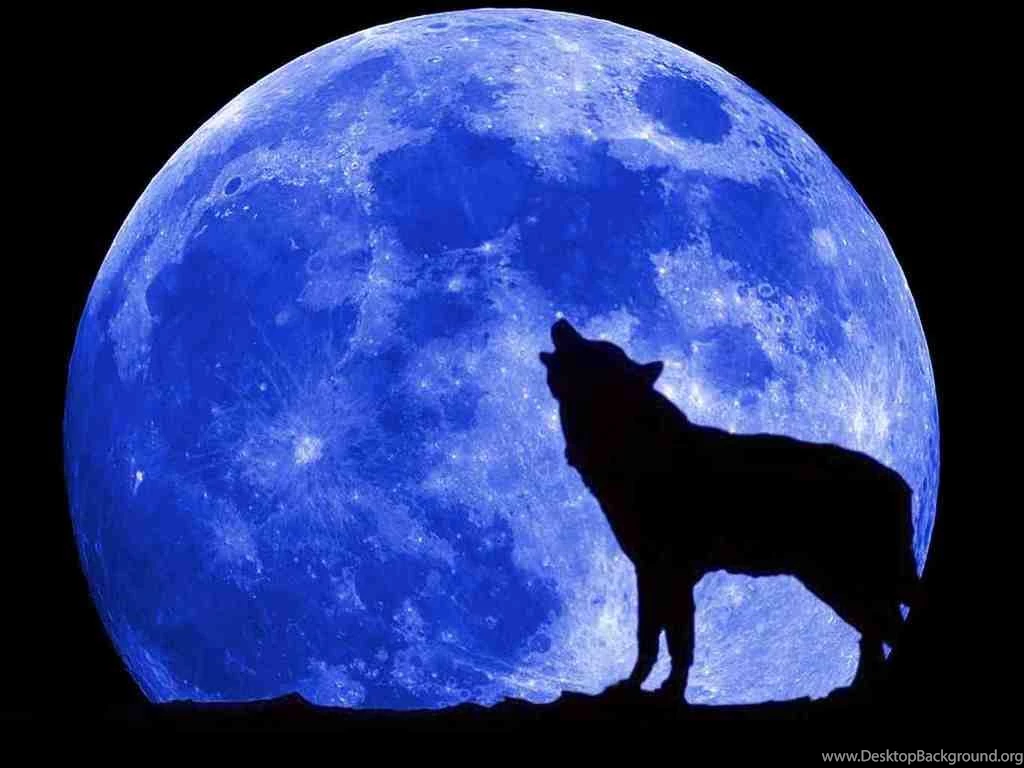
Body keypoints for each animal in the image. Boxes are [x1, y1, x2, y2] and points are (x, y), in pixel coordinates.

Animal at [539, 318, 918, 699]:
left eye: (596, 347)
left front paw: (659, 690)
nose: (560, 321)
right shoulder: (658, 573)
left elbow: (668, 642)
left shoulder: (667, 571)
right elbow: (663, 640)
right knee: (875, 634)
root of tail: (902, 484)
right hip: (843, 586)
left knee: (883, 631)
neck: (632, 442)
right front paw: (649, 686)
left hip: (839, 583)